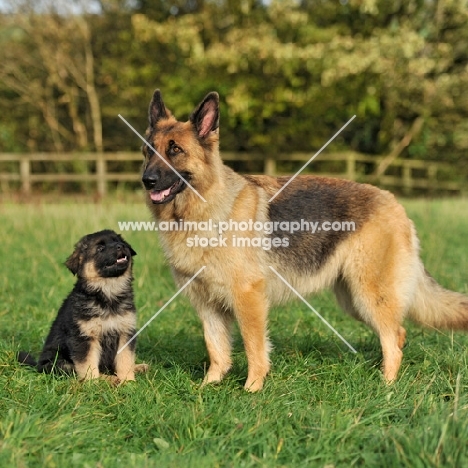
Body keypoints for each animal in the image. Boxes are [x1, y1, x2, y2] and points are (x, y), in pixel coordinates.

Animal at [18, 230, 147, 384]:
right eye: (100, 248)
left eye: (119, 241)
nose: (120, 246)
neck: (107, 291)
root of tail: (38, 365)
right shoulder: (84, 337)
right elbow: (88, 365)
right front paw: (93, 384)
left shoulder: (125, 332)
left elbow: (125, 359)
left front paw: (128, 381)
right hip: (58, 362)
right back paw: (110, 379)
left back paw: (138, 368)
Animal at [142, 88, 468, 392]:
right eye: (148, 152)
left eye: (175, 150)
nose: (146, 181)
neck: (200, 210)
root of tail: (393, 202)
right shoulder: (207, 305)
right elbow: (217, 349)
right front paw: (209, 386)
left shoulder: (248, 299)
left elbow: (253, 346)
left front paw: (252, 389)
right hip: (353, 299)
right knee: (397, 334)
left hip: (369, 294)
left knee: (393, 336)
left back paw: (386, 386)